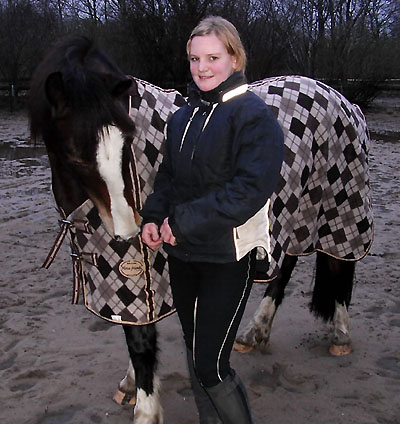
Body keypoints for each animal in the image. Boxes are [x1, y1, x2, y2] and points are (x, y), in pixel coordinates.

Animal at [29, 36, 373, 423]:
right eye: (75, 155)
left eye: (125, 143)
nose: (129, 228)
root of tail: (344, 101)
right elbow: (133, 329)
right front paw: (131, 384)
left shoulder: (136, 269)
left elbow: (141, 341)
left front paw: (146, 409)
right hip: (299, 217)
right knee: (286, 267)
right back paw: (256, 331)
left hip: (341, 207)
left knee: (339, 262)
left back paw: (340, 335)